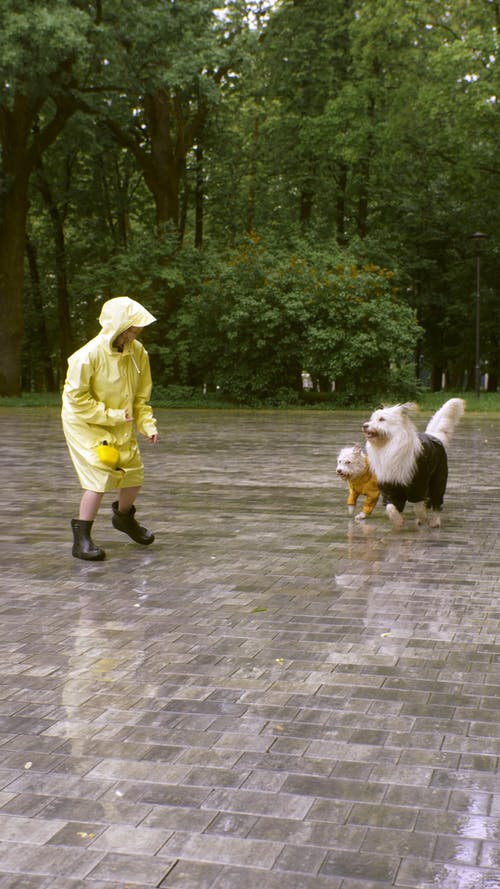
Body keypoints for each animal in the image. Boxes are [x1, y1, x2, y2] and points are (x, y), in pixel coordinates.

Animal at [362, 398, 462, 528]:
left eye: (382, 419)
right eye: (372, 419)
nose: (364, 426)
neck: (389, 446)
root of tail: (433, 436)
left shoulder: (418, 485)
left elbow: (418, 507)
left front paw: (423, 518)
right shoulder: (389, 486)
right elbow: (390, 507)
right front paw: (398, 520)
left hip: (439, 479)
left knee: (436, 501)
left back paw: (434, 522)